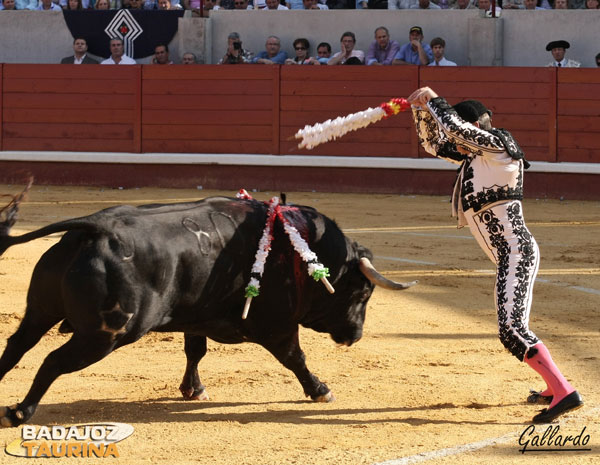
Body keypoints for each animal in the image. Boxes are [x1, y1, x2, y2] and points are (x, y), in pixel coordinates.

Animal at [0, 192, 414, 424]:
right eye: (362, 293)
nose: (354, 336)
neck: (302, 249)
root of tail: (96, 227)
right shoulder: (277, 326)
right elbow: (295, 358)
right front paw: (320, 390)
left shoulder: (195, 317)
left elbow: (194, 351)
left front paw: (193, 389)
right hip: (106, 335)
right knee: (52, 360)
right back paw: (20, 412)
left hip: (40, 310)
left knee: (16, 346)